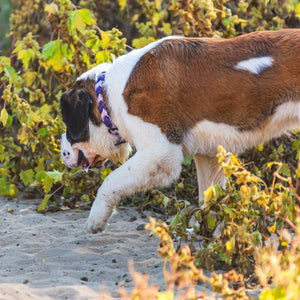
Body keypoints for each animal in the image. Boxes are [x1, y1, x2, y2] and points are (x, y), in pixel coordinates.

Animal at [60, 29, 300, 233]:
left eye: (68, 126)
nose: (61, 149)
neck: (109, 94)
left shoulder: (160, 154)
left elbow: (111, 181)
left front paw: (95, 219)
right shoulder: (208, 154)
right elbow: (208, 200)